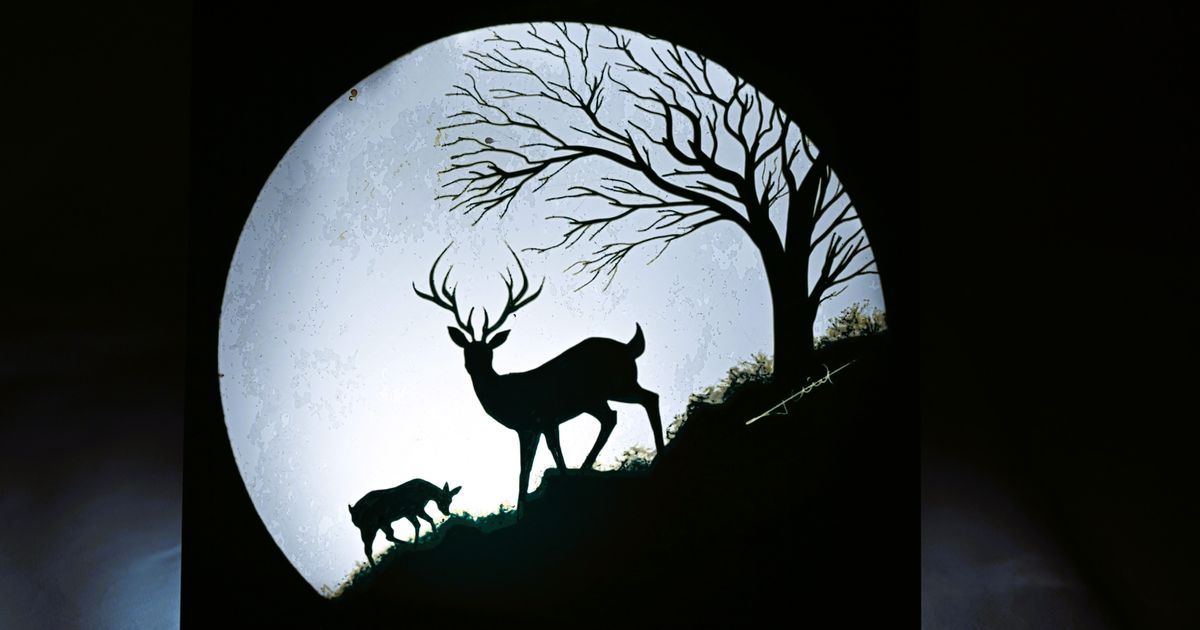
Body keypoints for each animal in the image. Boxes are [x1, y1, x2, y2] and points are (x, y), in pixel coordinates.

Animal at [413, 243, 664, 514]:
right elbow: (532, 465)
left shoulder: (541, 418)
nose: (474, 367)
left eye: (488, 352)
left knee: (635, 405)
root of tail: (629, 347)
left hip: (612, 386)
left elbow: (537, 462)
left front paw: (533, 502)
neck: (507, 395)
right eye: (467, 351)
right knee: (631, 407)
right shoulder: (535, 425)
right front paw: (528, 503)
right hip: (605, 394)